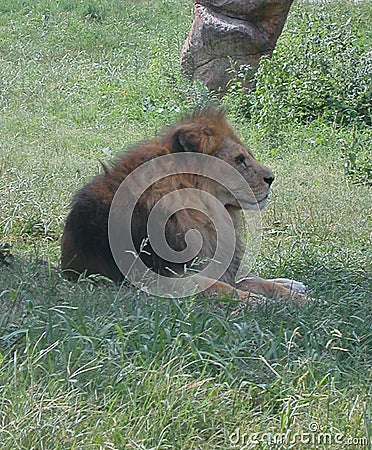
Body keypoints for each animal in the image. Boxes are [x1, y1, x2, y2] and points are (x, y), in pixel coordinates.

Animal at [61, 108, 310, 302]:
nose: (272, 178)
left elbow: (260, 282)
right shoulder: (162, 278)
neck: (208, 214)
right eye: (239, 160)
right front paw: (258, 301)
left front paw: (303, 300)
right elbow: (219, 286)